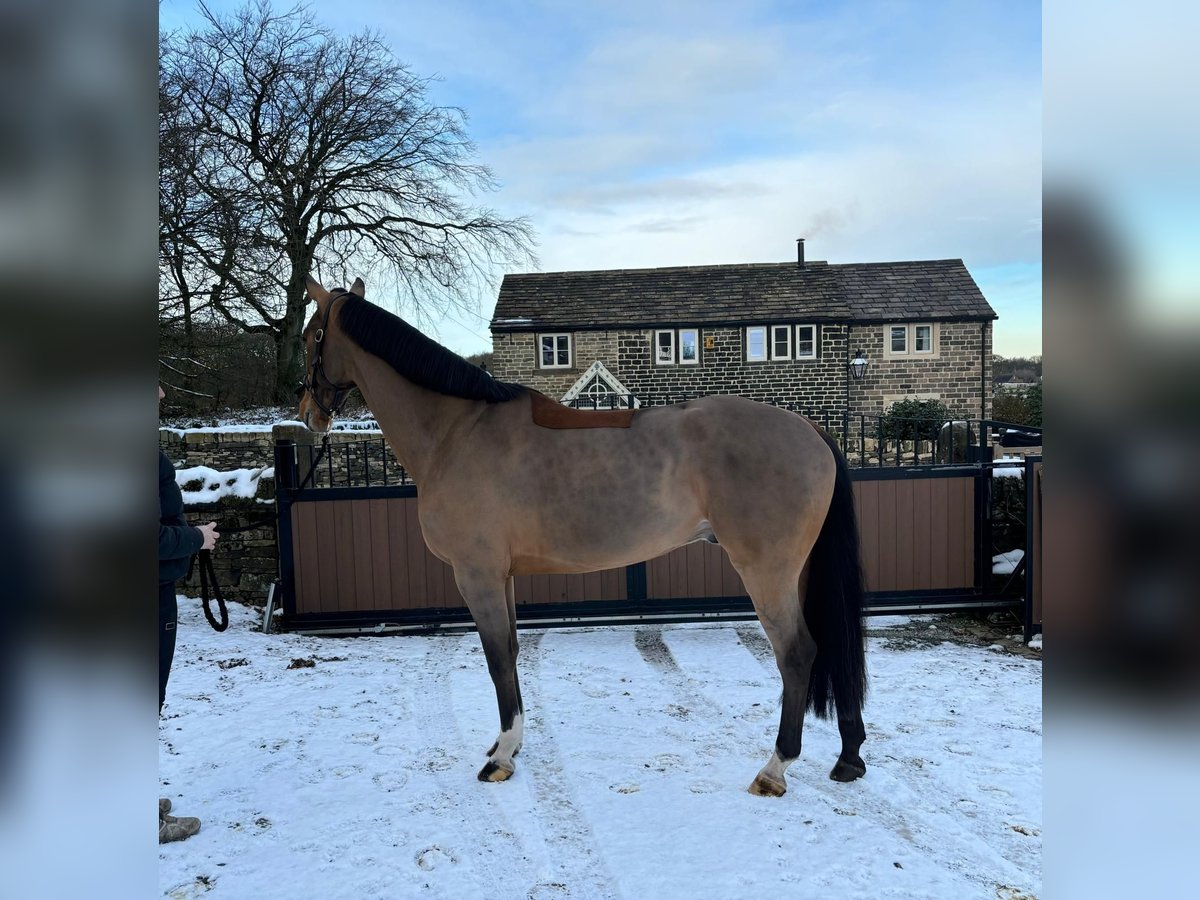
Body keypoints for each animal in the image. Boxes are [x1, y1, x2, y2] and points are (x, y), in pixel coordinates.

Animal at [295, 274, 868, 796]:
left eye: (308, 336)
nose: (307, 415)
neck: (457, 431)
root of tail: (810, 429)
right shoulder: (501, 576)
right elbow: (512, 652)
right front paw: (509, 745)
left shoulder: (477, 575)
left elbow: (497, 658)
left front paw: (500, 758)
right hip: (797, 572)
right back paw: (849, 757)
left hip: (766, 571)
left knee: (796, 654)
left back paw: (774, 768)